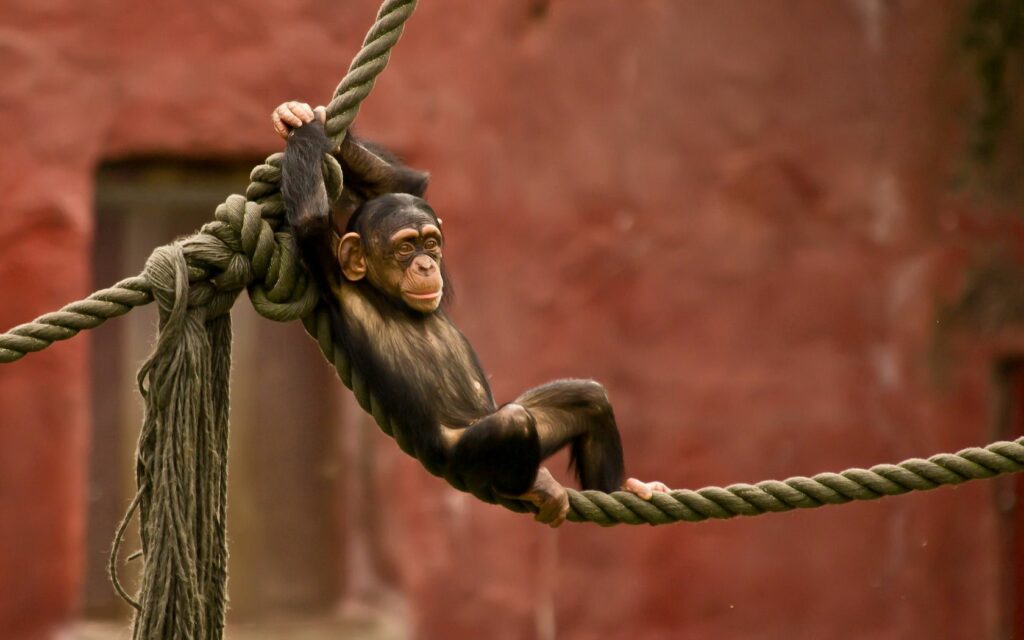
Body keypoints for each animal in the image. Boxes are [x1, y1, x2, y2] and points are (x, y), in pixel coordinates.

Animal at [274, 101, 668, 526]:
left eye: (430, 243)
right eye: (405, 248)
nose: (425, 265)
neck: (388, 297)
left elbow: (405, 186)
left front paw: (309, 122)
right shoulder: (332, 273)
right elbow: (310, 220)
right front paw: (300, 129)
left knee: (587, 398)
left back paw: (623, 488)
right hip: (464, 459)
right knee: (513, 424)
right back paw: (533, 486)